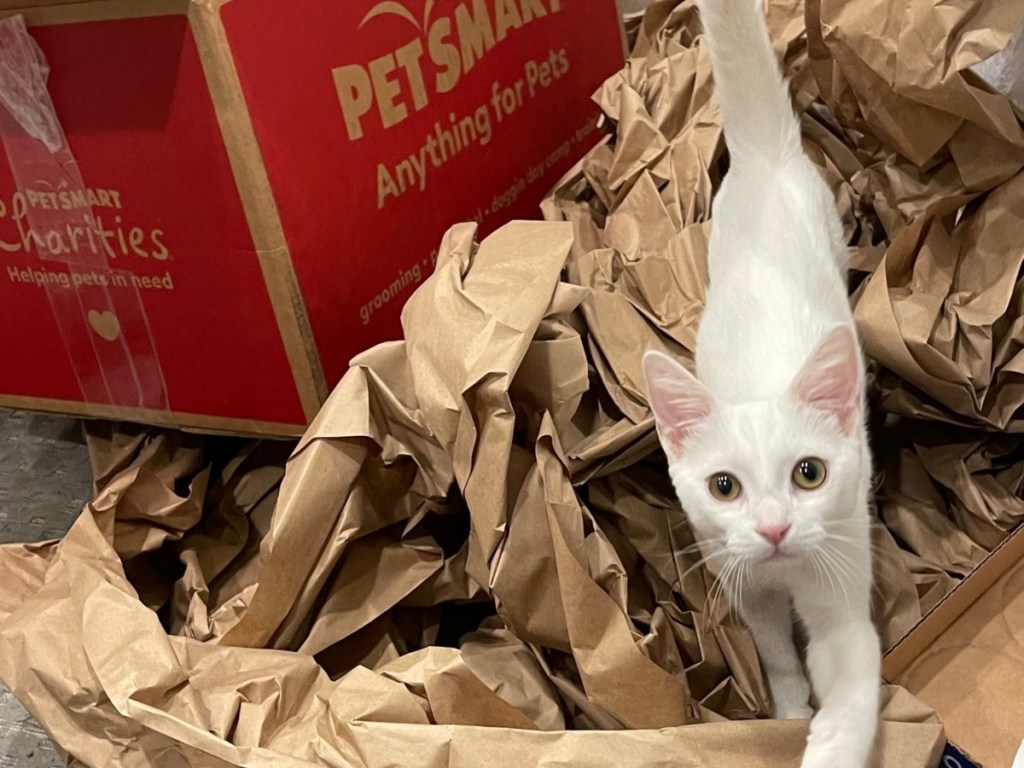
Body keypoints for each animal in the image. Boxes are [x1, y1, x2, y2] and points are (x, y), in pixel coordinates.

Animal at [643, 0, 884, 765]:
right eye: (724, 486)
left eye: (810, 473)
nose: (775, 527)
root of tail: (763, 158)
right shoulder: (743, 580)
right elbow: (775, 648)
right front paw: (786, 706)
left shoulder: (840, 574)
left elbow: (851, 668)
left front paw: (829, 738)